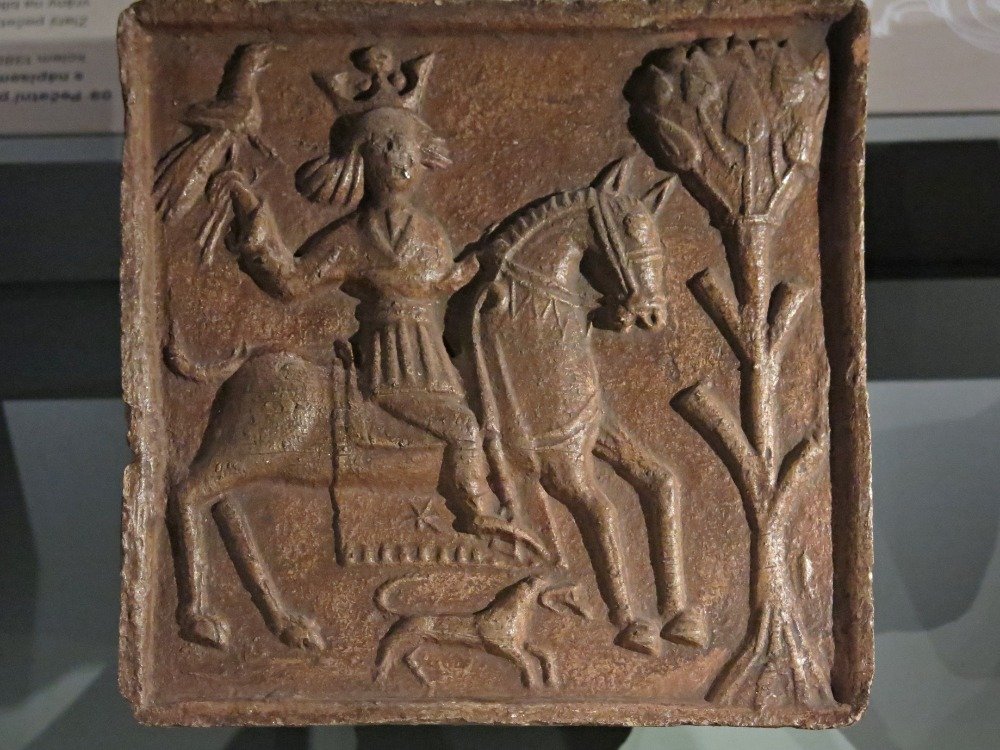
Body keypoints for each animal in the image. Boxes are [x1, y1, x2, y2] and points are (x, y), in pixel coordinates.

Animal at [373, 573, 594, 689]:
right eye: (547, 581)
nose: (571, 583)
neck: (511, 613)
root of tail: (405, 615)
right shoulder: (503, 647)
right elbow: (526, 661)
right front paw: (532, 683)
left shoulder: (519, 643)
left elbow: (543, 653)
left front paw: (550, 680)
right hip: (405, 637)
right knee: (388, 650)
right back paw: (380, 677)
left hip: (417, 642)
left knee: (407, 657)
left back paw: (426, 681)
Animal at [453, 156, 707, 655]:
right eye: (630, 227)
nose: (653, 314)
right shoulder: (559, 462)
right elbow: (603, 514)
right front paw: (634, 625)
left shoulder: (591, 427)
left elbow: (662, 482)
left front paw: (681, 619)